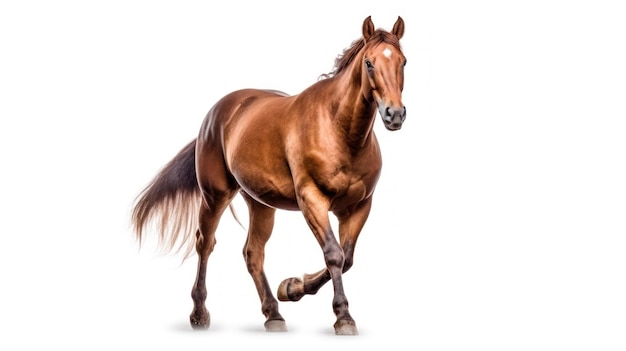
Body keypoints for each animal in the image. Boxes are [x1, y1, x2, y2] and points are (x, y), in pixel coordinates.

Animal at [131, 15, 404, 336]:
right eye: (369, 63)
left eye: (403, 61)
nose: (395, 114)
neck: (338, 129)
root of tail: (218, 111)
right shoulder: (312, 199)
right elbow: (334, 254)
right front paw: (343, 317)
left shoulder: (359, 206)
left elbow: (346, 258)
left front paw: (292, 287)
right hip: (215, 195)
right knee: (205, 243)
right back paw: (199, 314)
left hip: (260, 204)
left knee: (253, 253)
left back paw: (273, 313)